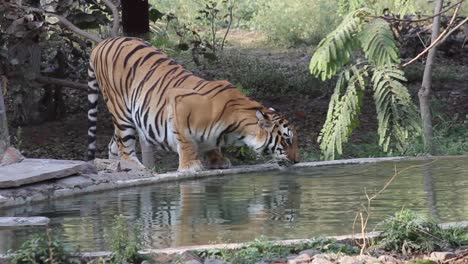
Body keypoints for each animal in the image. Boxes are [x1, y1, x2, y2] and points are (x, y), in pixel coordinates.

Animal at [87, 37, 300, 173]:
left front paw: (217, 161)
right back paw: (134, 166)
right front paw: (191, 166)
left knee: (114, 143)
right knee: (125, 144)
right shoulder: (179, 103)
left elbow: (211, 144)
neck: (236, 130)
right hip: (120, 109)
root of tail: (102, 43)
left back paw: (117, 167)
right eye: (287, 141)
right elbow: (186, 141)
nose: (297, 161)